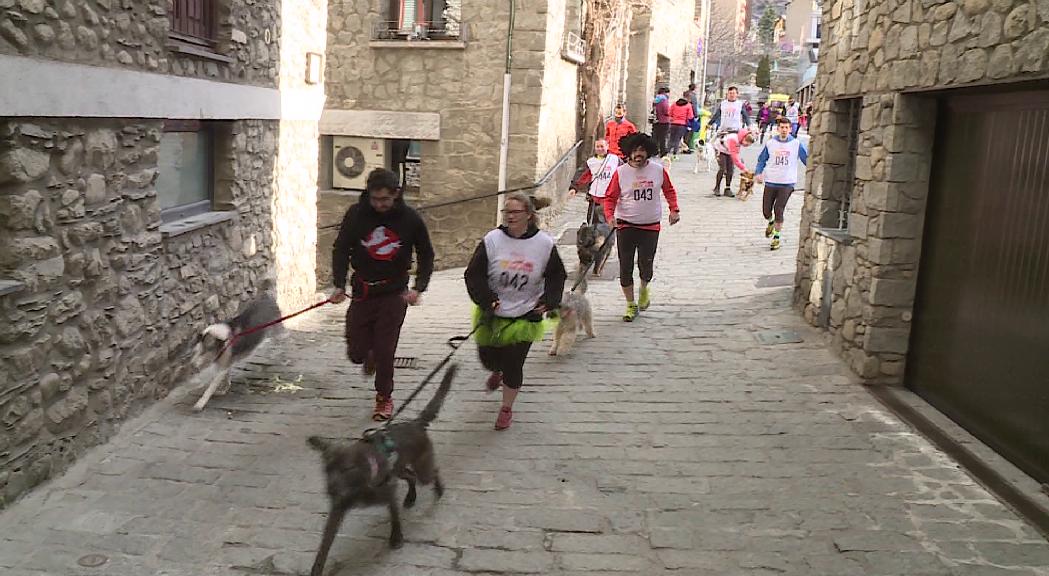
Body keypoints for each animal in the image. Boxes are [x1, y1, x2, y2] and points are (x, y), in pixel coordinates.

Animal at [302, 363, 453, 574]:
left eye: (347, 469)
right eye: (327, 471)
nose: (331, 489)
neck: (359, 486)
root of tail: (415, 423)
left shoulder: (388, 492)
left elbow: (394, 516)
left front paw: (396, 538)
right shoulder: (338, 508)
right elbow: (325, 542)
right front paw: (317, 567)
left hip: (421, 468)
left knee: (432, 472)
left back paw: (438, 489)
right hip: (398, 467)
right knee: (410, 476)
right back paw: (411, 497)